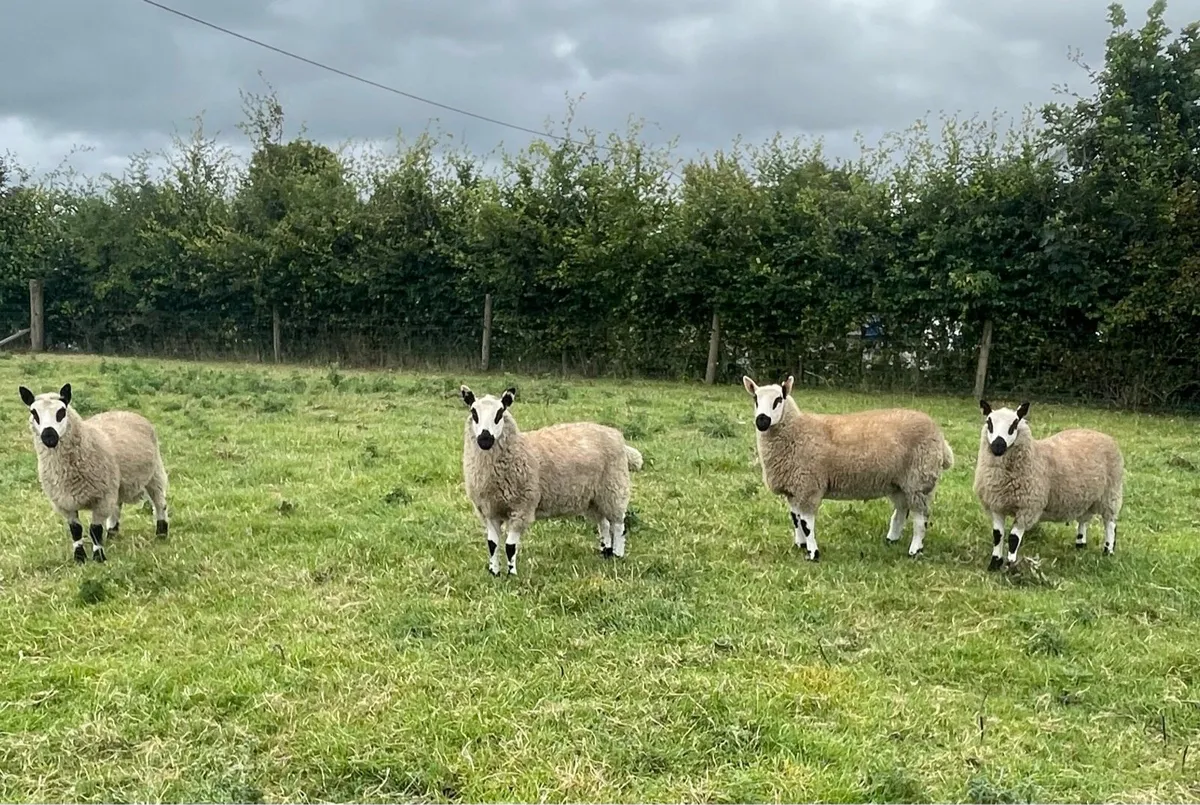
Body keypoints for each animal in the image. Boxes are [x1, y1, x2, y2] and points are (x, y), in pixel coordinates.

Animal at [19, 383, 170, 563]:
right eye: (34, 413)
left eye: (61, 411)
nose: (49, 436)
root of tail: (126, 412)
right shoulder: (64, 502)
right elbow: (75, 530)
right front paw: (79, 557)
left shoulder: (101, 498)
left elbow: (95, 529)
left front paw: (98, 557)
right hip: (116, 482)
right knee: (117, 505)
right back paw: (112, 532)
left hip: (154, 473)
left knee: (159, 503)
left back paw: (161, 532)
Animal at [459, 385, 643, 576]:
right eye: (473, 412)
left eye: (500, 412)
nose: (484, 439)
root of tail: (616, 435)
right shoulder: (489, 511)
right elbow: (492, 545)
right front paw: (494, 572)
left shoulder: (522, 507)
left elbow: (510, 546)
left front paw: (512, 574)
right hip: (593, 497)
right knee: (604, 523)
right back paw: (605, 552)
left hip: (614, 489)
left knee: (618, 525)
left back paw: (617, 555)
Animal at [742, 374, 954, 561]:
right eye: (755, 399)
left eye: (778, 399)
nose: (762, 420)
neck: (797, 431)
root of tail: (940, 438)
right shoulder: (794, 489)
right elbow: (796, 519)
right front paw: (799, 545)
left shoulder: (809, 486)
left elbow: (806, 523)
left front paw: (813, 553)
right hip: (899, 483)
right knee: (902, 510)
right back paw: (891, 539)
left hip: (919, 479)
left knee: (921, 517)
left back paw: (915, 550)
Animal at [973, 400, 1124, 571]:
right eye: (989, 423)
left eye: (1015, 424)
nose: (998, 447)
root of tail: (1104, 435)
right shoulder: (997, 505)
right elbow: (997, 536)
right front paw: (994, 564)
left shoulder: (1028, 507)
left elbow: (1013, 539)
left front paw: (1010, 565)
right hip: (1087, 497)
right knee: (1084, 519)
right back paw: (1080, 544)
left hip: (1111, 493)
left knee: (1110, 523)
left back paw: (1108, 551)